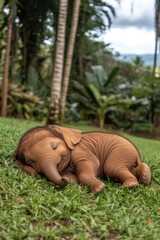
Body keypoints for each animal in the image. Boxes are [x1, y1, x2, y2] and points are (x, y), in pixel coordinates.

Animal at [13, 125, 151, 193]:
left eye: (54, 146)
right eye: (31, 162)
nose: (62, 178)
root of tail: (136, 152)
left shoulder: (80, 149)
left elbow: (91, 163)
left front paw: (98, 189)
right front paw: (71, 179)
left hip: (121, 151)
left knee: (112, 167)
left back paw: (130, 185)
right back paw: (144, 176)